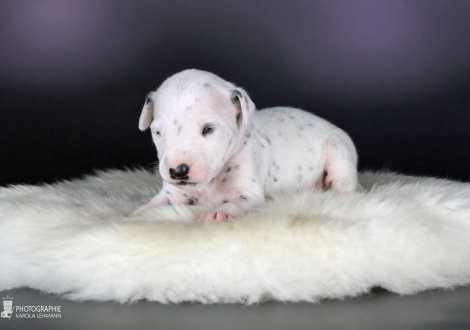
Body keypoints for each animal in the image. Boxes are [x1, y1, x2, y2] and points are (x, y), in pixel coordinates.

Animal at [136, 69, 360, 222]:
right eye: (157, 132)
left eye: (208, 129)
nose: (178, 171)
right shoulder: (171, 194)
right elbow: (153, 204)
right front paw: (137, 214)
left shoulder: (248, 193)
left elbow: (236, 204)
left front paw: (218, 214)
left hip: (338, 151)